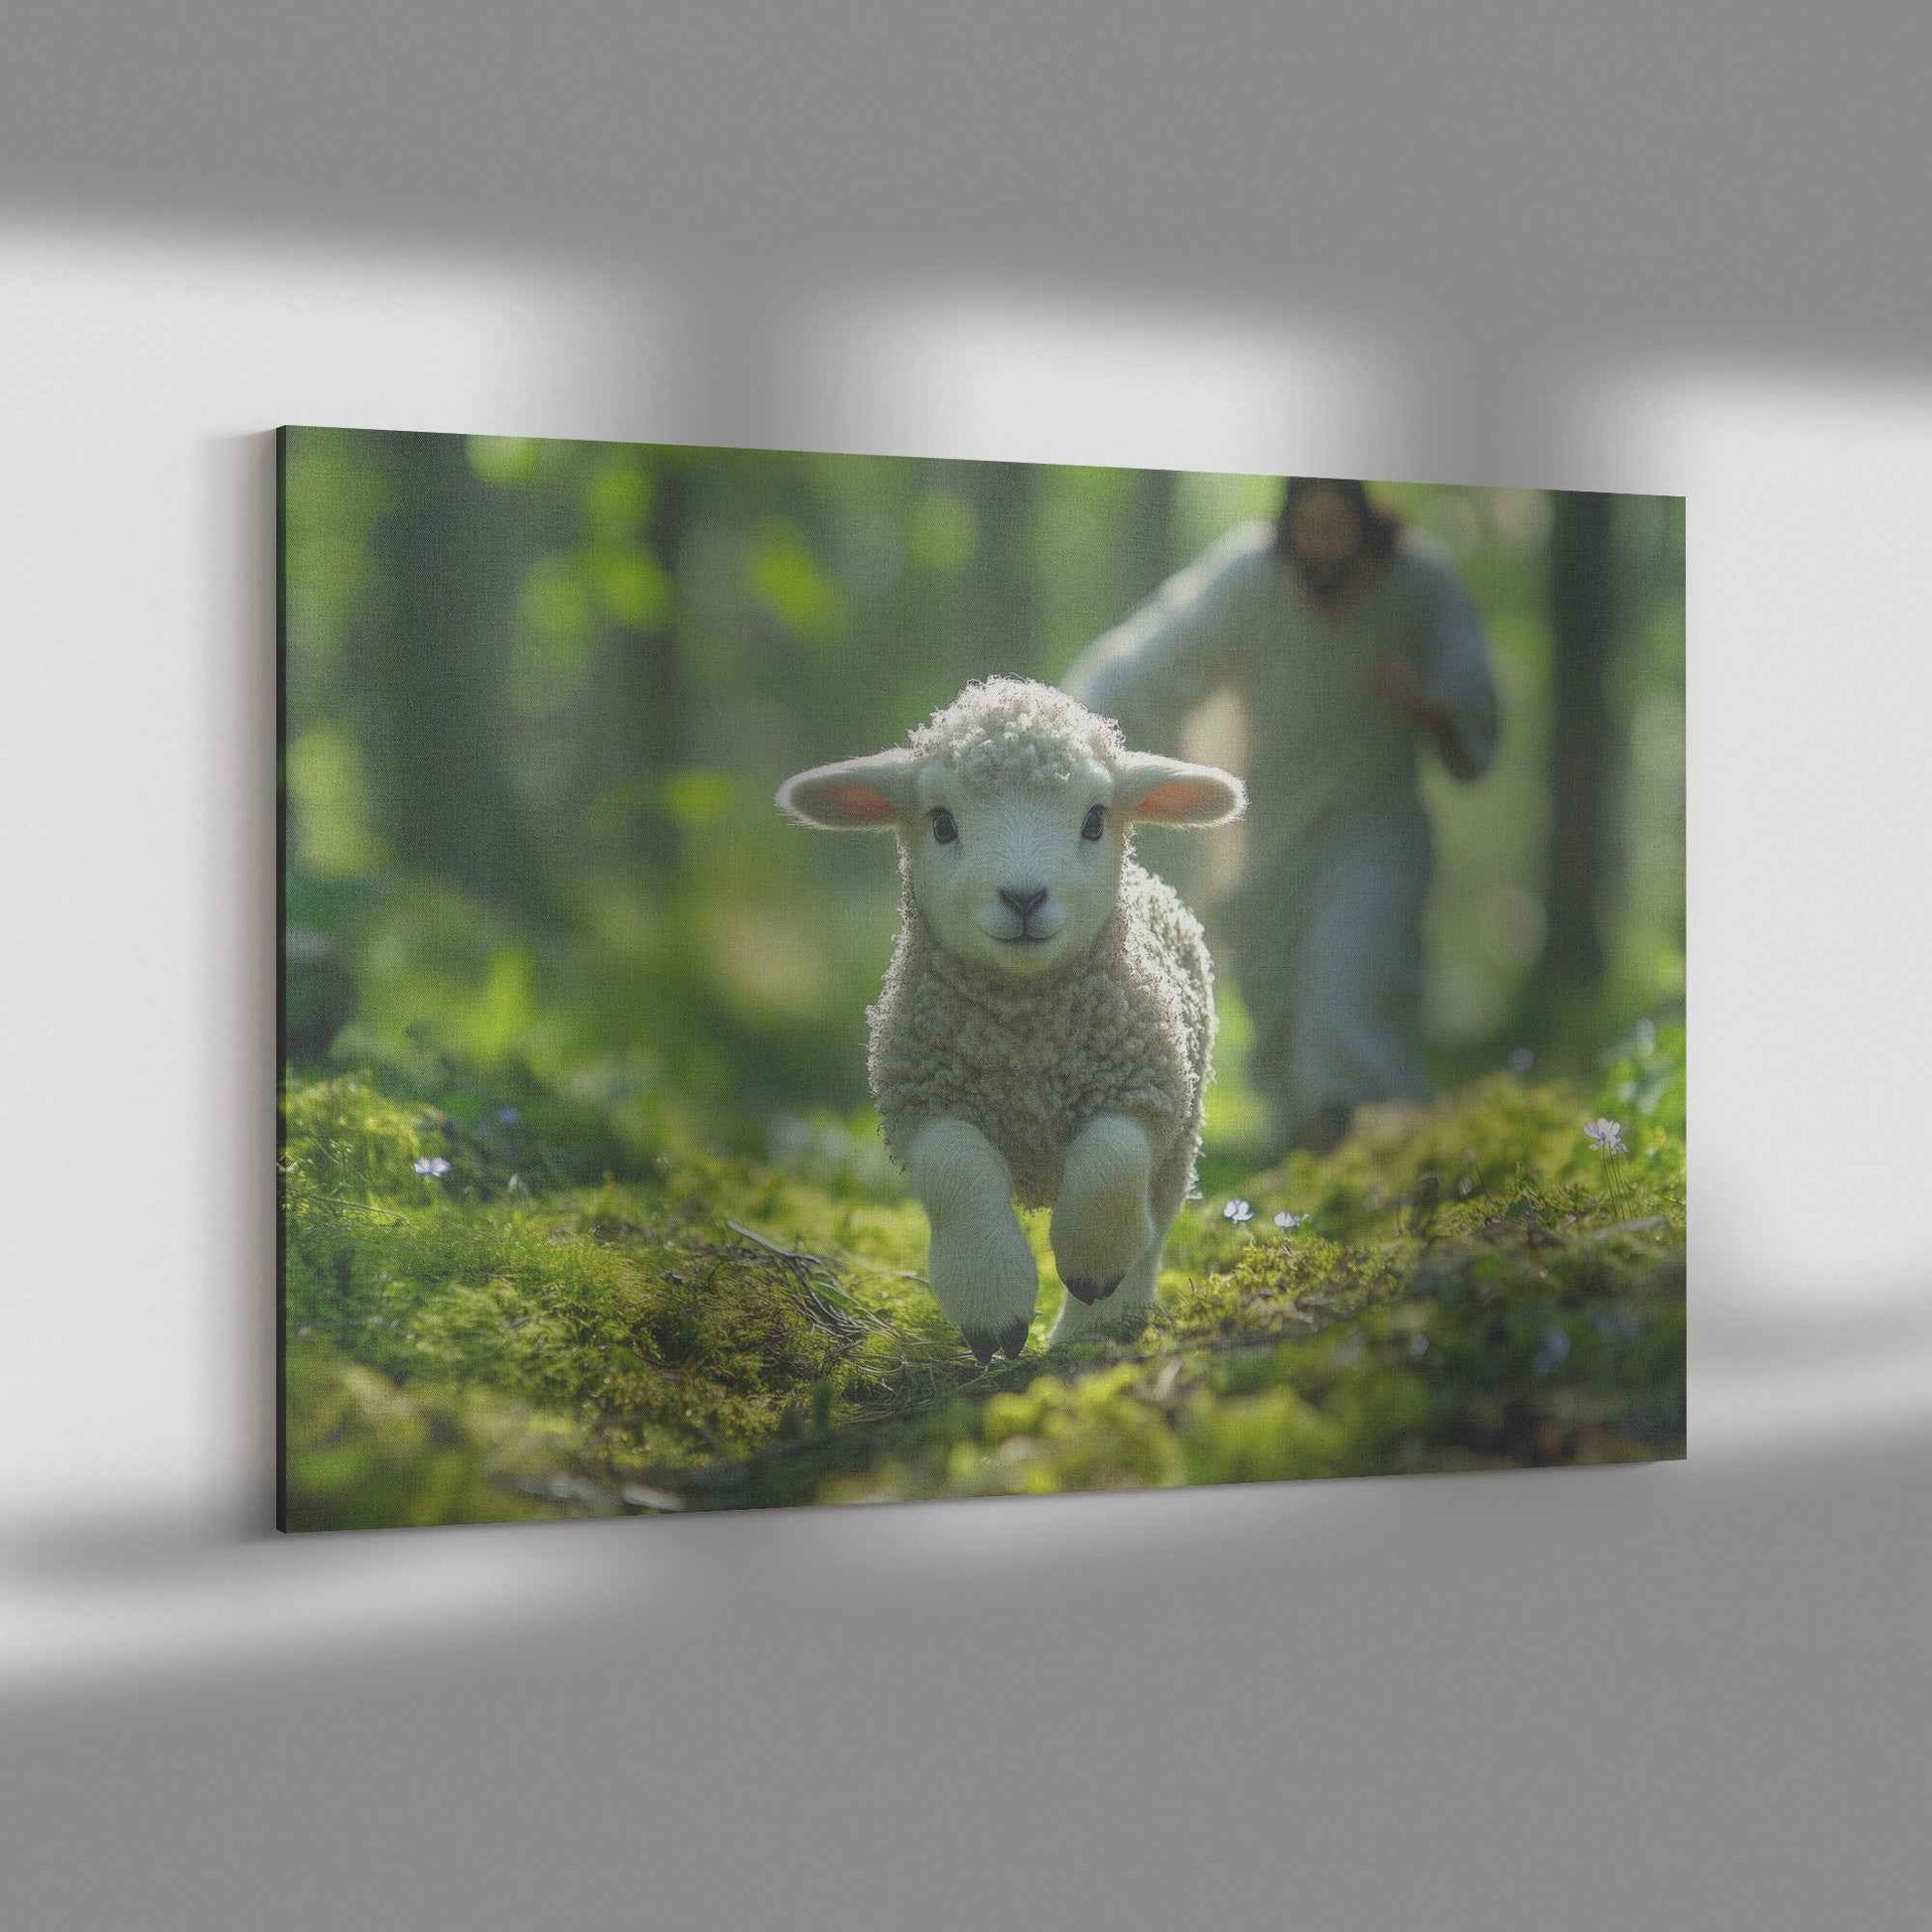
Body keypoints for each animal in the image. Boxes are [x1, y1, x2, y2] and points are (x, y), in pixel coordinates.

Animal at [777, 677, 1245, 1361]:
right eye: (942, 823)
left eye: (1094, 819)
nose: (1024, 897)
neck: (1025, 1046)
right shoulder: (924, 1101)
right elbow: (958, 1174)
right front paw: (992, 1307)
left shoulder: (1146, 1086)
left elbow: (1111, 1162)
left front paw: (1091, 1264)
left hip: (1184, 1130)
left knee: (1154, 1226)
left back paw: (1095, 1330)